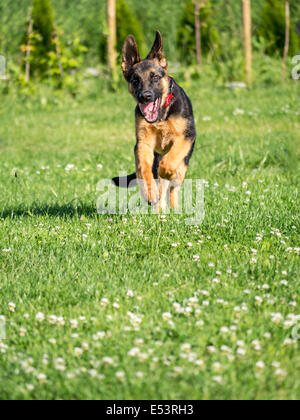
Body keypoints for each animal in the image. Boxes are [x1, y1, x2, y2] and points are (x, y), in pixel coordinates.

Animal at [113, 30, 197, 212]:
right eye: (135, 80)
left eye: (155, 77)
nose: (145, 96)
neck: (160, 117)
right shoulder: (143, 144)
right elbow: (143, 170)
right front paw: (149, 192)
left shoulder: (184, 137)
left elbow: (170, 161)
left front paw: (166, 171)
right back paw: (159, 208)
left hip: (183, 166)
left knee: (173, 187)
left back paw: (174, 208)